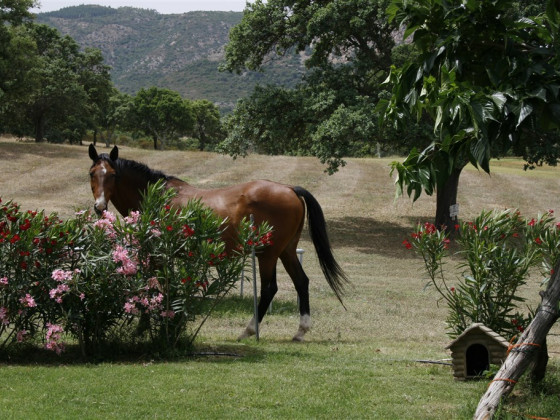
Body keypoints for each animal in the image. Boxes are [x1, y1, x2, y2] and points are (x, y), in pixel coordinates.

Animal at [87, 144, 346, 342]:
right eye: (92, 173)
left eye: (112, 175)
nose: (99, 206)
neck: (156, 196)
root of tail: (291, 189)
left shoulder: (156, 254)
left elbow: (153, 288)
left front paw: (144, 328)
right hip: (287, 252)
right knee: (302, 282)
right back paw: (300, 331)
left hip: (268, 254)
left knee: (269, 289)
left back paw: (248, 331)